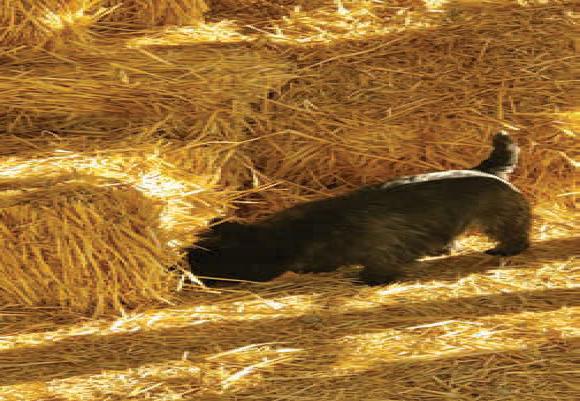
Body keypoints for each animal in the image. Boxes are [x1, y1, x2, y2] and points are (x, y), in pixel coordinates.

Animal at [187, 133, 532, 286]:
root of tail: (485, 170)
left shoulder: (381, 251)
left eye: (216, 259)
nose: (189, 272)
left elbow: (379, 268)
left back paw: (506, 249)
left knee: (515, 231)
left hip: (499, 219)